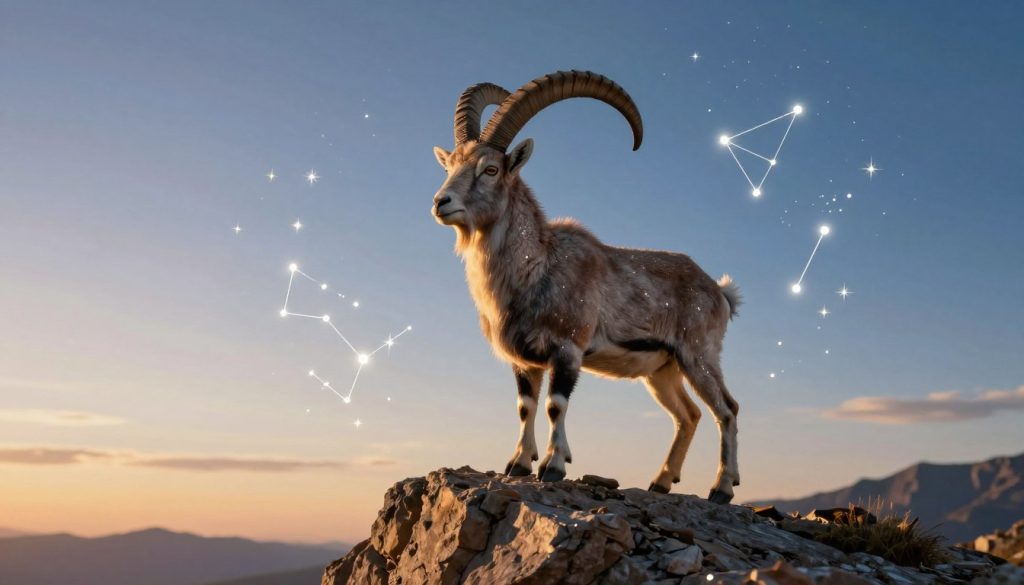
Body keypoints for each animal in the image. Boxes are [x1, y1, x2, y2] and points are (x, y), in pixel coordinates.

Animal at [431, 71, 742, 504]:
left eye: (490, 169)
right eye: (450, 165)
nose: (441, 202)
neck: (537, 267)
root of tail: (719, 292)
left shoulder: (568, 349)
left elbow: (555, 406)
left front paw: (554, 466)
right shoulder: (524, 362)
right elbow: (525, 407)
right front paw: (518, 464)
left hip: (699, 356)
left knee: (726, 409)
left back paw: (722, 488)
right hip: (663, 370)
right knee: (689, 414)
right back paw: (661, 481)